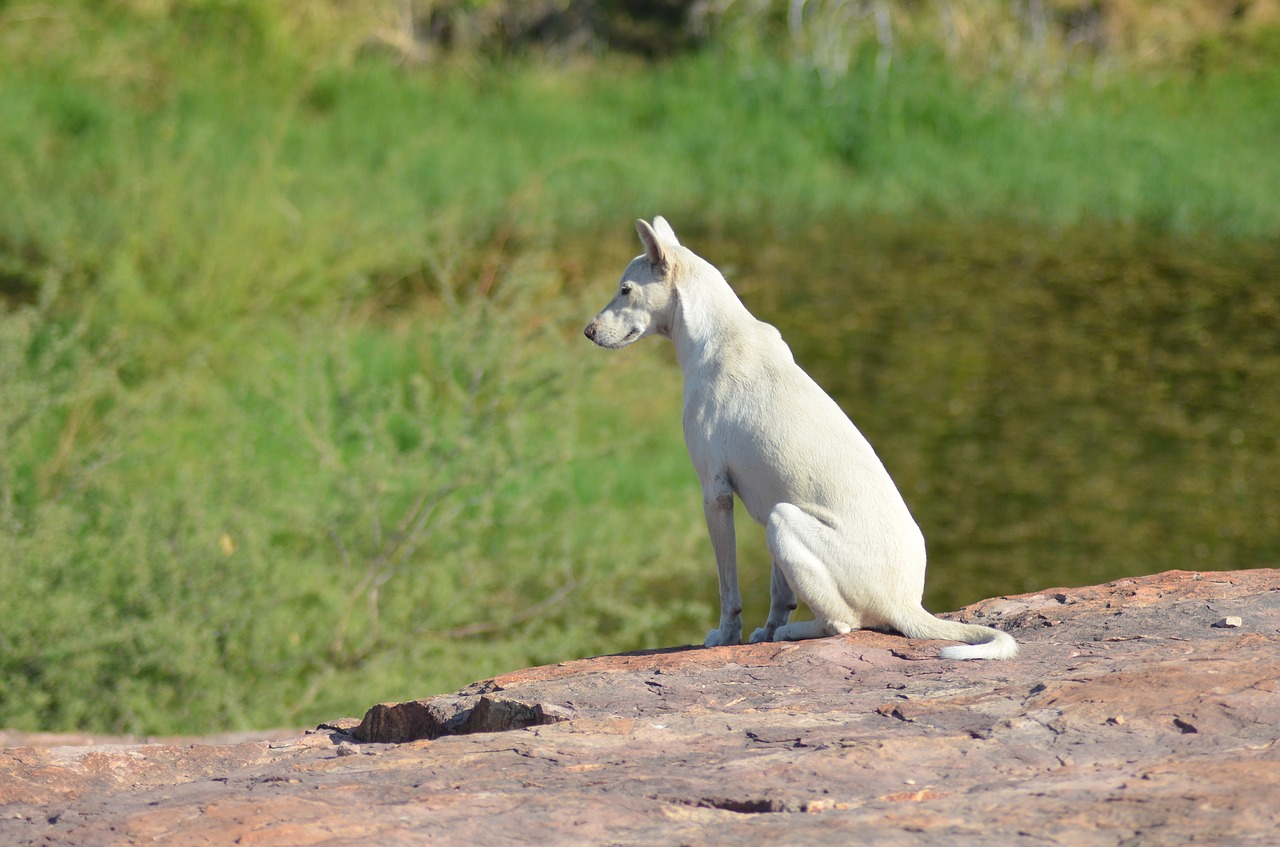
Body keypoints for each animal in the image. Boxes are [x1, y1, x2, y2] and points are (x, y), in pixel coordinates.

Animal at [586, 218, 1018, 665]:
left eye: (625, 290)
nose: (588, 331)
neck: (716, 333)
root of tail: (906, 604)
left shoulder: (715, 494)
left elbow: (728, 590)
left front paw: (726, 635)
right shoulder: (766, 503)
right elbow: (780, 594)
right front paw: (764, 630)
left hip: (783, 520)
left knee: (840, 624)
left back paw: (794, 632)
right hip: (781, 516)